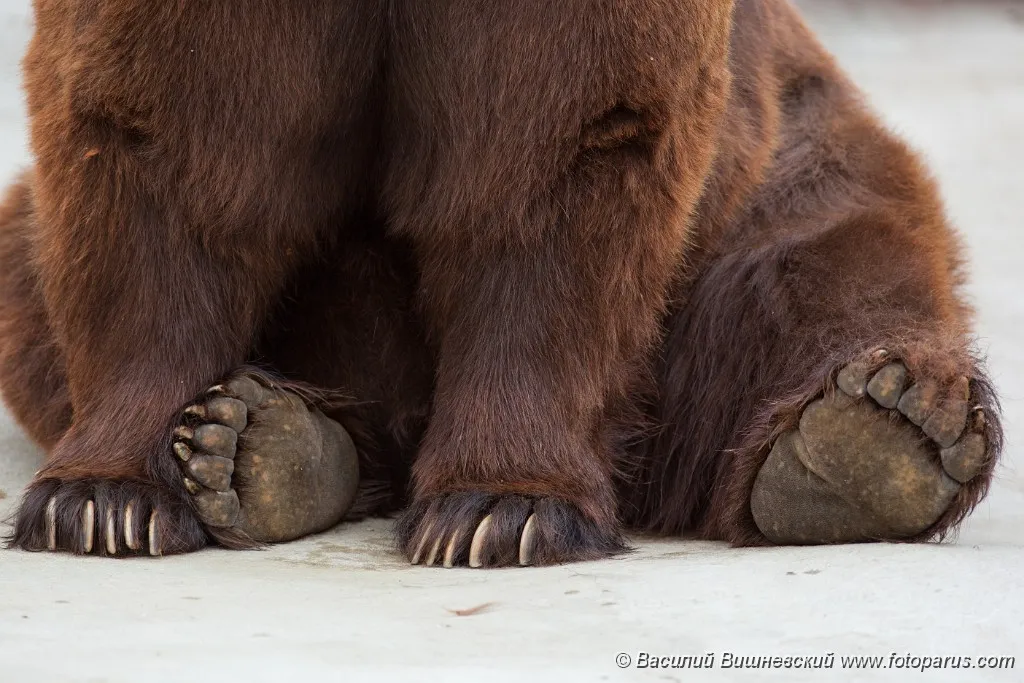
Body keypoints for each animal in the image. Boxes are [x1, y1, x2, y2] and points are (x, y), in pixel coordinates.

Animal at [0, 0, 999, 565]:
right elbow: (157, 145)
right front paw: (104, 502)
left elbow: (557, 158)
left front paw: (500, 510)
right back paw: (264, 442)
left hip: (782, 162)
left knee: (829, 257)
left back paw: (882, 430)